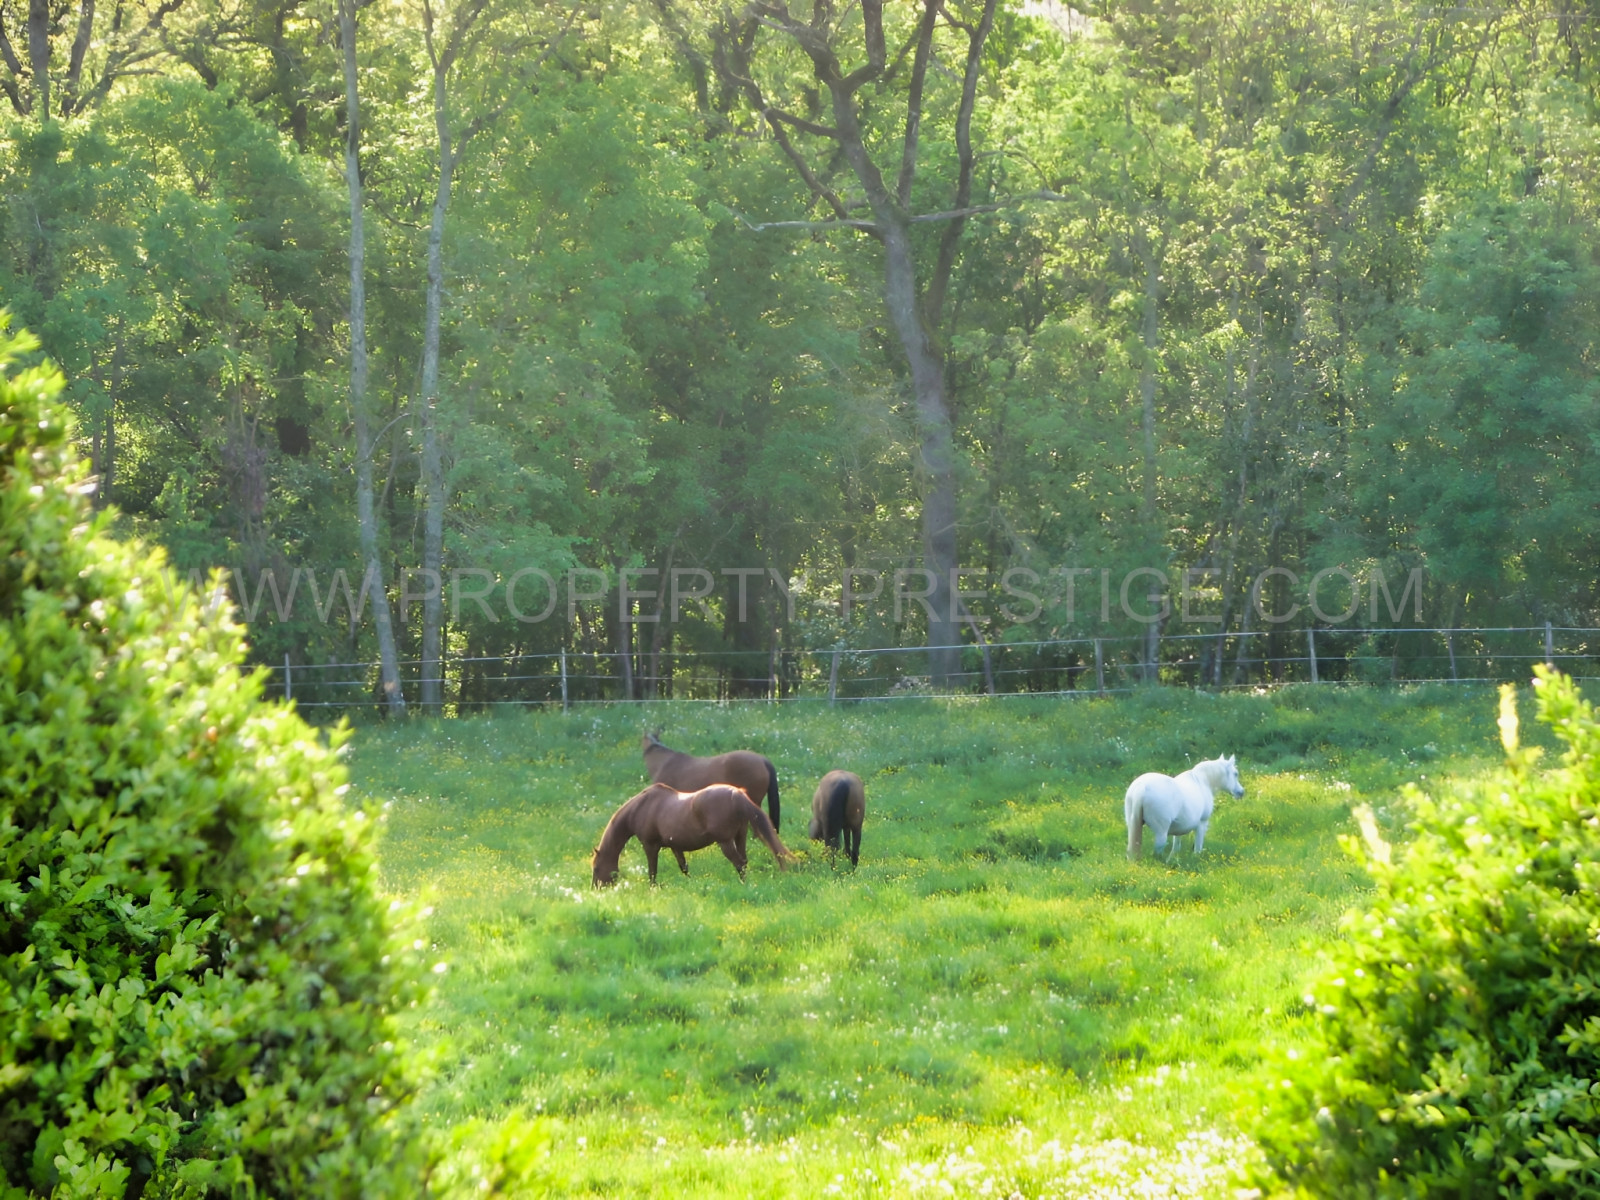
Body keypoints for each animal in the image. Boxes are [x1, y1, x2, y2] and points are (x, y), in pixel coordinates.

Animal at [592, 784, 790, 889]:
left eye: (595, 868)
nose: (595, 889)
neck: (642, 807)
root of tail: (736, 793)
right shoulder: (675, 846)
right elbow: (684, 867)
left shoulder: (650, 845)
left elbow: (652, 871)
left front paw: (653, 889)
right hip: (739, 837)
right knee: (744, 862)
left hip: (725, 842)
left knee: (739, 863)